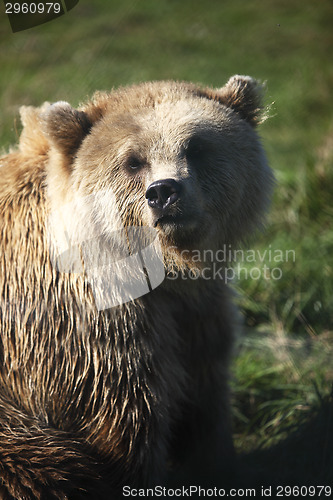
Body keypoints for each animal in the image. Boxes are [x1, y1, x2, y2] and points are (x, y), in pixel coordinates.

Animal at [0, 76, 272, 498]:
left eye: (196, 147)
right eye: (132, 160)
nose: (164, 192)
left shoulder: (198, 316)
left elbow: (206, 403)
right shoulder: (93, 333)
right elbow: (126, 431)